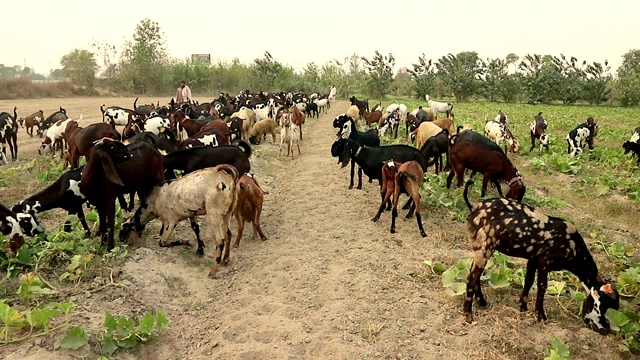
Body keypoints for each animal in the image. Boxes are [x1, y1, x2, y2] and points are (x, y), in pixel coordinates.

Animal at [460, 179, 620, 332]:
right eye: (603, 307)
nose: (605, 329)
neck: (574, 246)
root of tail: (474, 207)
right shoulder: (545, 262)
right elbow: (542, 287)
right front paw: (540, 315)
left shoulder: (533, 260)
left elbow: (528, 281)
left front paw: (523, 307)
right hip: (485, 247)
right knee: (471, 278)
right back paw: (469, 316)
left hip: (480, 248)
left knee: (475, 275)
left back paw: (481, 302)